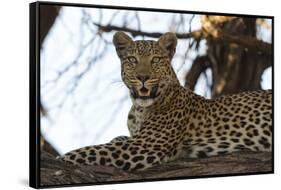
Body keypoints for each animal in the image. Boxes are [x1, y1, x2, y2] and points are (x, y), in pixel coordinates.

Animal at [59, 31, 272, 171]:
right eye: (132, 60)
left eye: (155, 60)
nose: (142, 77)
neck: (139, 109)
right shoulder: (136, 140)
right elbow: (116, 139)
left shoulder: (143, 146)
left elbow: (88, 151)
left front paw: (61, 159)